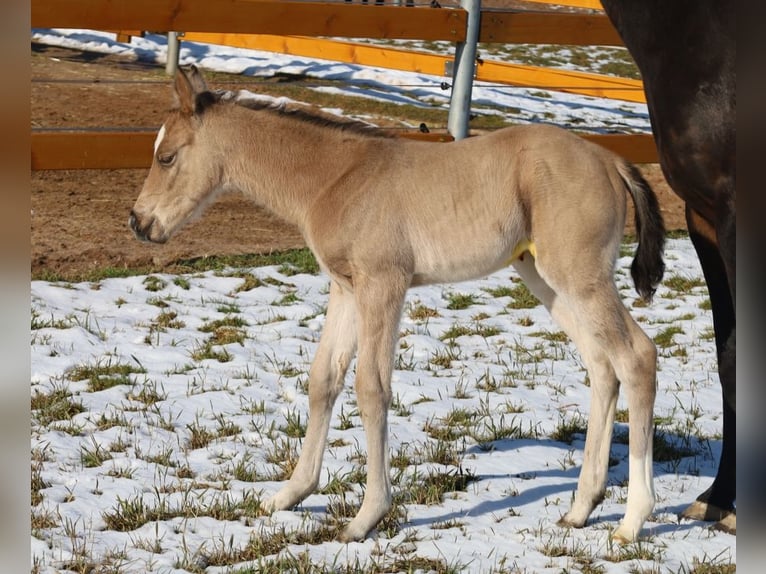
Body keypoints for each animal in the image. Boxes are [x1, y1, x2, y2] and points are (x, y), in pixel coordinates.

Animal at [130, 65, 665, 543]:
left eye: (167, 157)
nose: (138, 222)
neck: (337, 178)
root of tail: (609, 159)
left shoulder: (383, 284)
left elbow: (372, 389)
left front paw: (366, 517)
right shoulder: (346, 288)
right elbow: (323, 379)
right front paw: (289, 495)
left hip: (579, 275)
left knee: (637, 357)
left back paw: (632, 521)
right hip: (544, 277)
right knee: (602, 366)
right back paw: (580, 508)